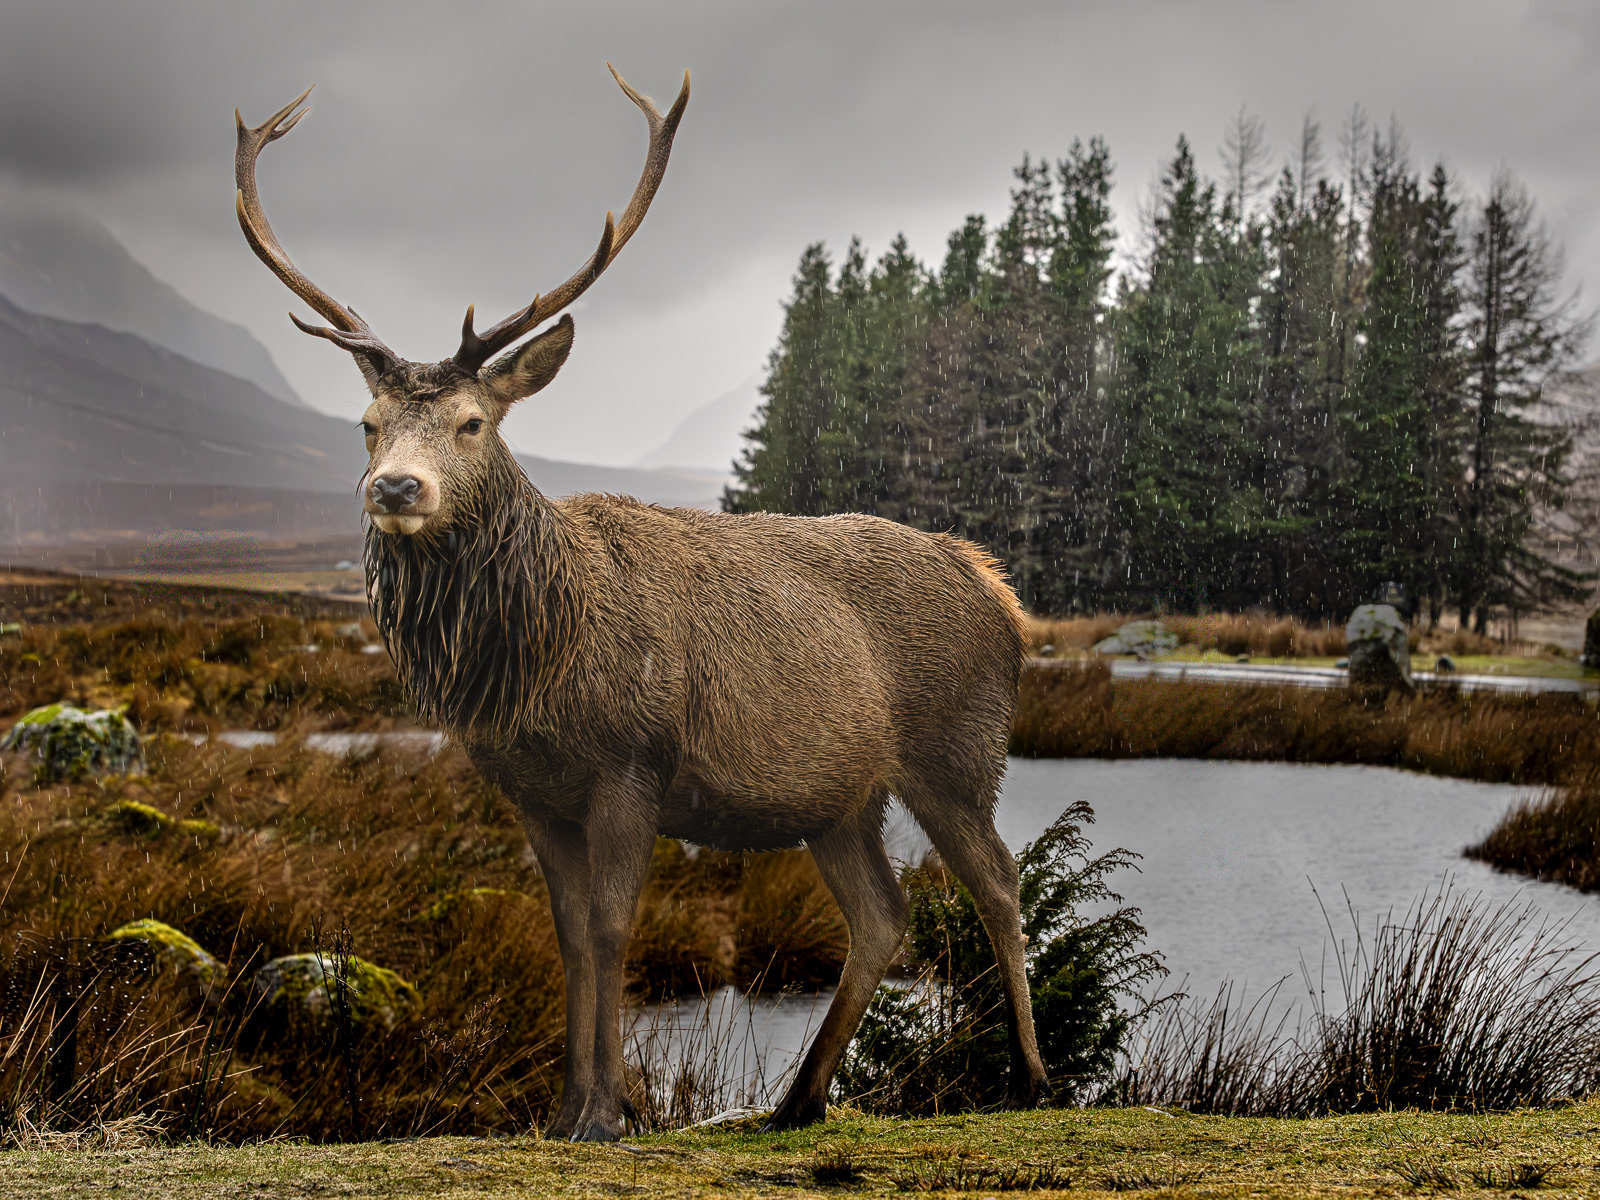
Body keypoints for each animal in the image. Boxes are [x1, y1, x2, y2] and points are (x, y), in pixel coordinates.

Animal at [234, 67, 1049, 1142]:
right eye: (366, 424)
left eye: (473, 421)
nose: (396, 488)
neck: (536, 660)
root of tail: (1001, 593)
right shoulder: (531, 788)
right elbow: (569, 933)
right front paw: (562, 1109)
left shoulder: (633, 764)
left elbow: (616, 925)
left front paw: (607, 1112)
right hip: (842, 796)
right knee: (884, 913)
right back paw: (797, 1098)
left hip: (958, 749)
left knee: (999, 881)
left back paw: (1033, 1078)